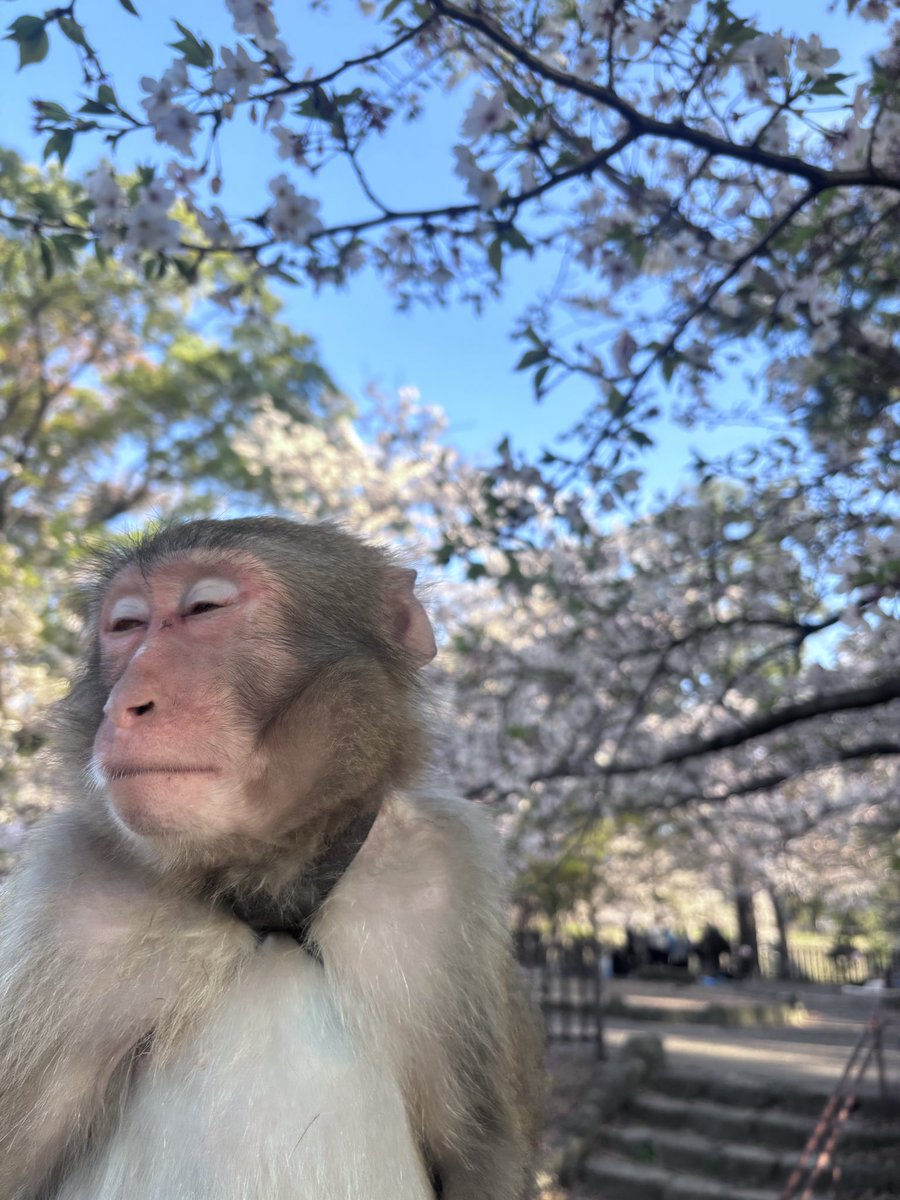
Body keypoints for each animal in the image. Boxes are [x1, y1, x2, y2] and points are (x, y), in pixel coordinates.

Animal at [0, 517, 542, 1200]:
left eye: (205, 609)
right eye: (126, 626)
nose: (123, 704)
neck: (270, 901)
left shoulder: (444, 874)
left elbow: (481, 1154)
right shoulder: (69, 900)